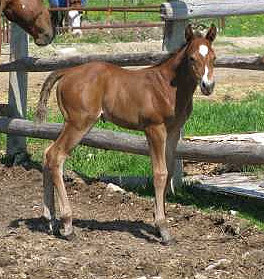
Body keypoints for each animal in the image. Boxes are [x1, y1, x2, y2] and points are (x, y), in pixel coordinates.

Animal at [35, 24, 217, 245]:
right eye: (191, 58)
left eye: (214, 57)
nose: (208, 86)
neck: (167, 86)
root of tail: (67, 71)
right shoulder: (154, 129)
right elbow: (160, 173)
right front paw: (163, 229)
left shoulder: (173, 131)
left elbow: (170, 171)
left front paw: (158, 222)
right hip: (79, 123)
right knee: (56, 156)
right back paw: (67, 225)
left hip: (70, 123)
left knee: (47, 153)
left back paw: (50, 220)